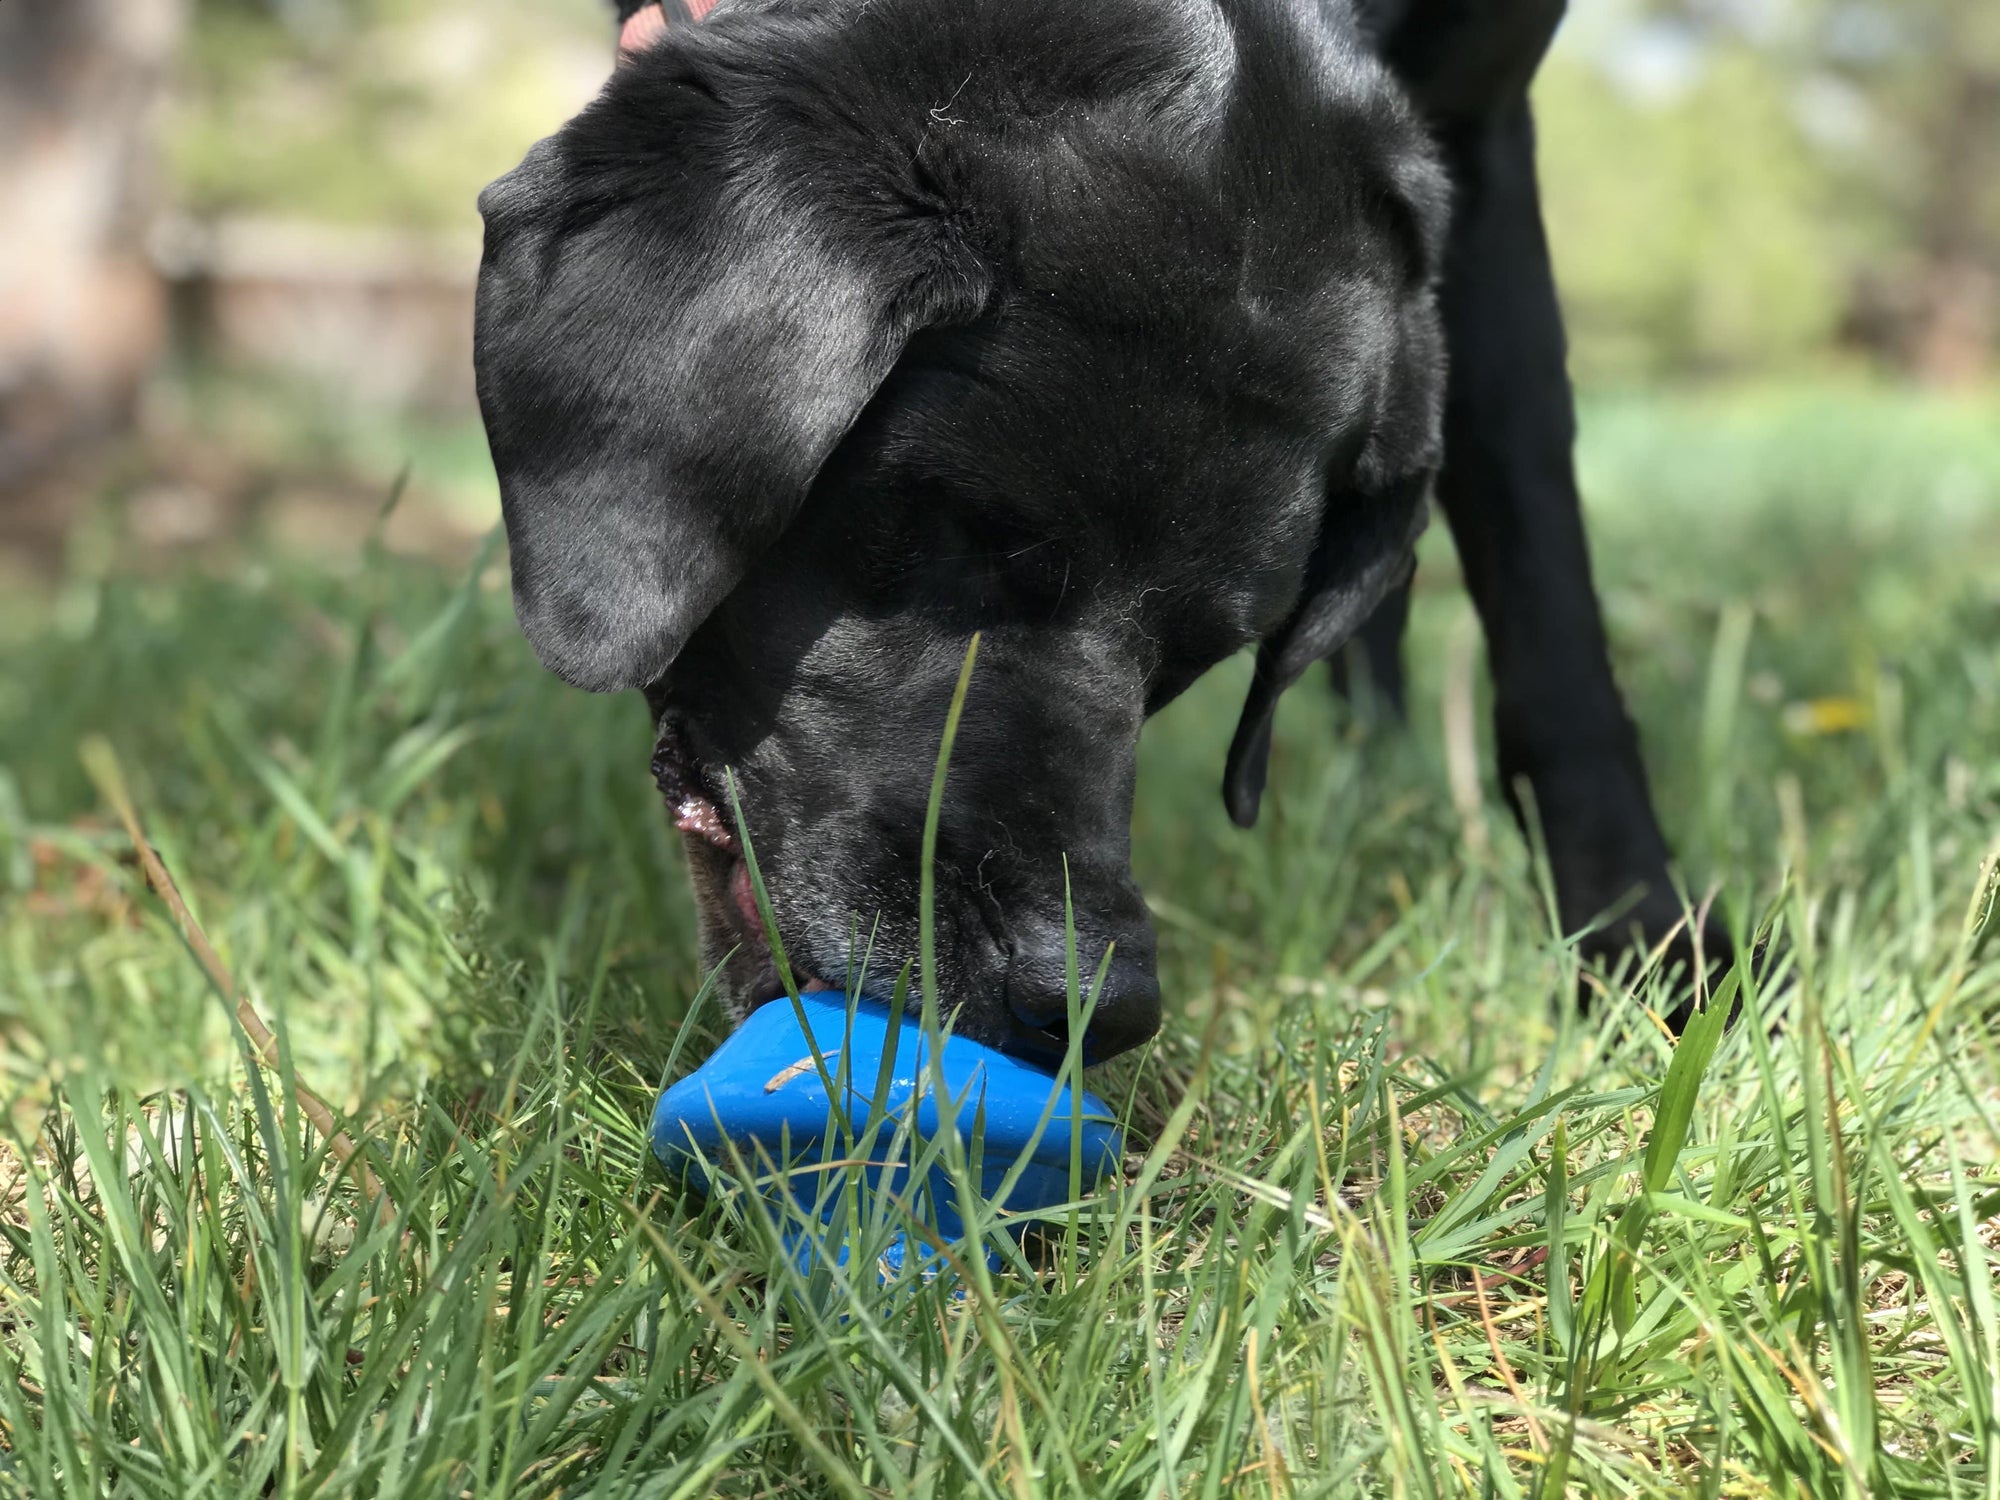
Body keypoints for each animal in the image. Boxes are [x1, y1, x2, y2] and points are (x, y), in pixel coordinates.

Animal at [472, 0, 1720, 1064]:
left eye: (1201, 657)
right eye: (942, 536)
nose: (1089, 1003)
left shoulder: (1485, 137)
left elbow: (1550, 616)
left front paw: (1651, 961)